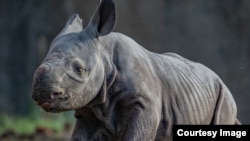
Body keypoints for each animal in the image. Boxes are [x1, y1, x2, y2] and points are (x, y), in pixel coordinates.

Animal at [31, 0, 240, 140]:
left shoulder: (144, 104)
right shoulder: (89, 109)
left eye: (79, 70)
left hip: (225, 97)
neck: (105, 56)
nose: (42, 91)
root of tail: (220, 79)